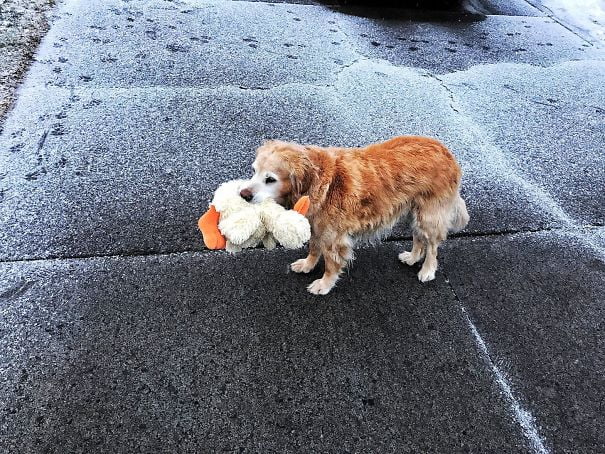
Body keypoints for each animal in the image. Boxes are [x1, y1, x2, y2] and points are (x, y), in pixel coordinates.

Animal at [238, 137, 470, 296]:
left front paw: (324, 284)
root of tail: (448, 153)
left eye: (270, 179)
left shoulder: (333, 237)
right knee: (419, 238)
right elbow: (313, 248)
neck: (316, 183)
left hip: (429, 215)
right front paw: (307, 265)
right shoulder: (318, 226)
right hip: (414, 211)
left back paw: (428, 270)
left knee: (432, 245)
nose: (243, 194)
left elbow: (331, 264)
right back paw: (412, 257)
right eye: (254, 171)